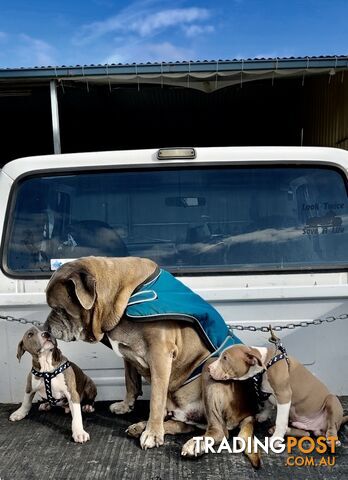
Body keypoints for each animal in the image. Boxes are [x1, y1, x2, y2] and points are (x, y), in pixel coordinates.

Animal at [44, 255, 258, 462]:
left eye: (59, 309)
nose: (45, 328)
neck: (125, 295)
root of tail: (247, 411)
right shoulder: (127, 355)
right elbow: (130, 382)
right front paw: (126, 406)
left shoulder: (160, 355)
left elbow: (155, 398)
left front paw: (153, 433)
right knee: (179, 423)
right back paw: (141, 426)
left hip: (210, 369)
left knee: (218, 430)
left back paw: (192, 443)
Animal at [208, 344, 346, 446]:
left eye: (225, 358)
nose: (208, 368)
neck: (264, 364)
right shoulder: (265, 392)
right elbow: (267, 405)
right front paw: (263, 416)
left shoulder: (284, 395)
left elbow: (280, 420)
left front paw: (276, 439)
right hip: (301, 424)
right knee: (306, 433)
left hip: (331, 401)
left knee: (332, 426)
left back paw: (332, 439)